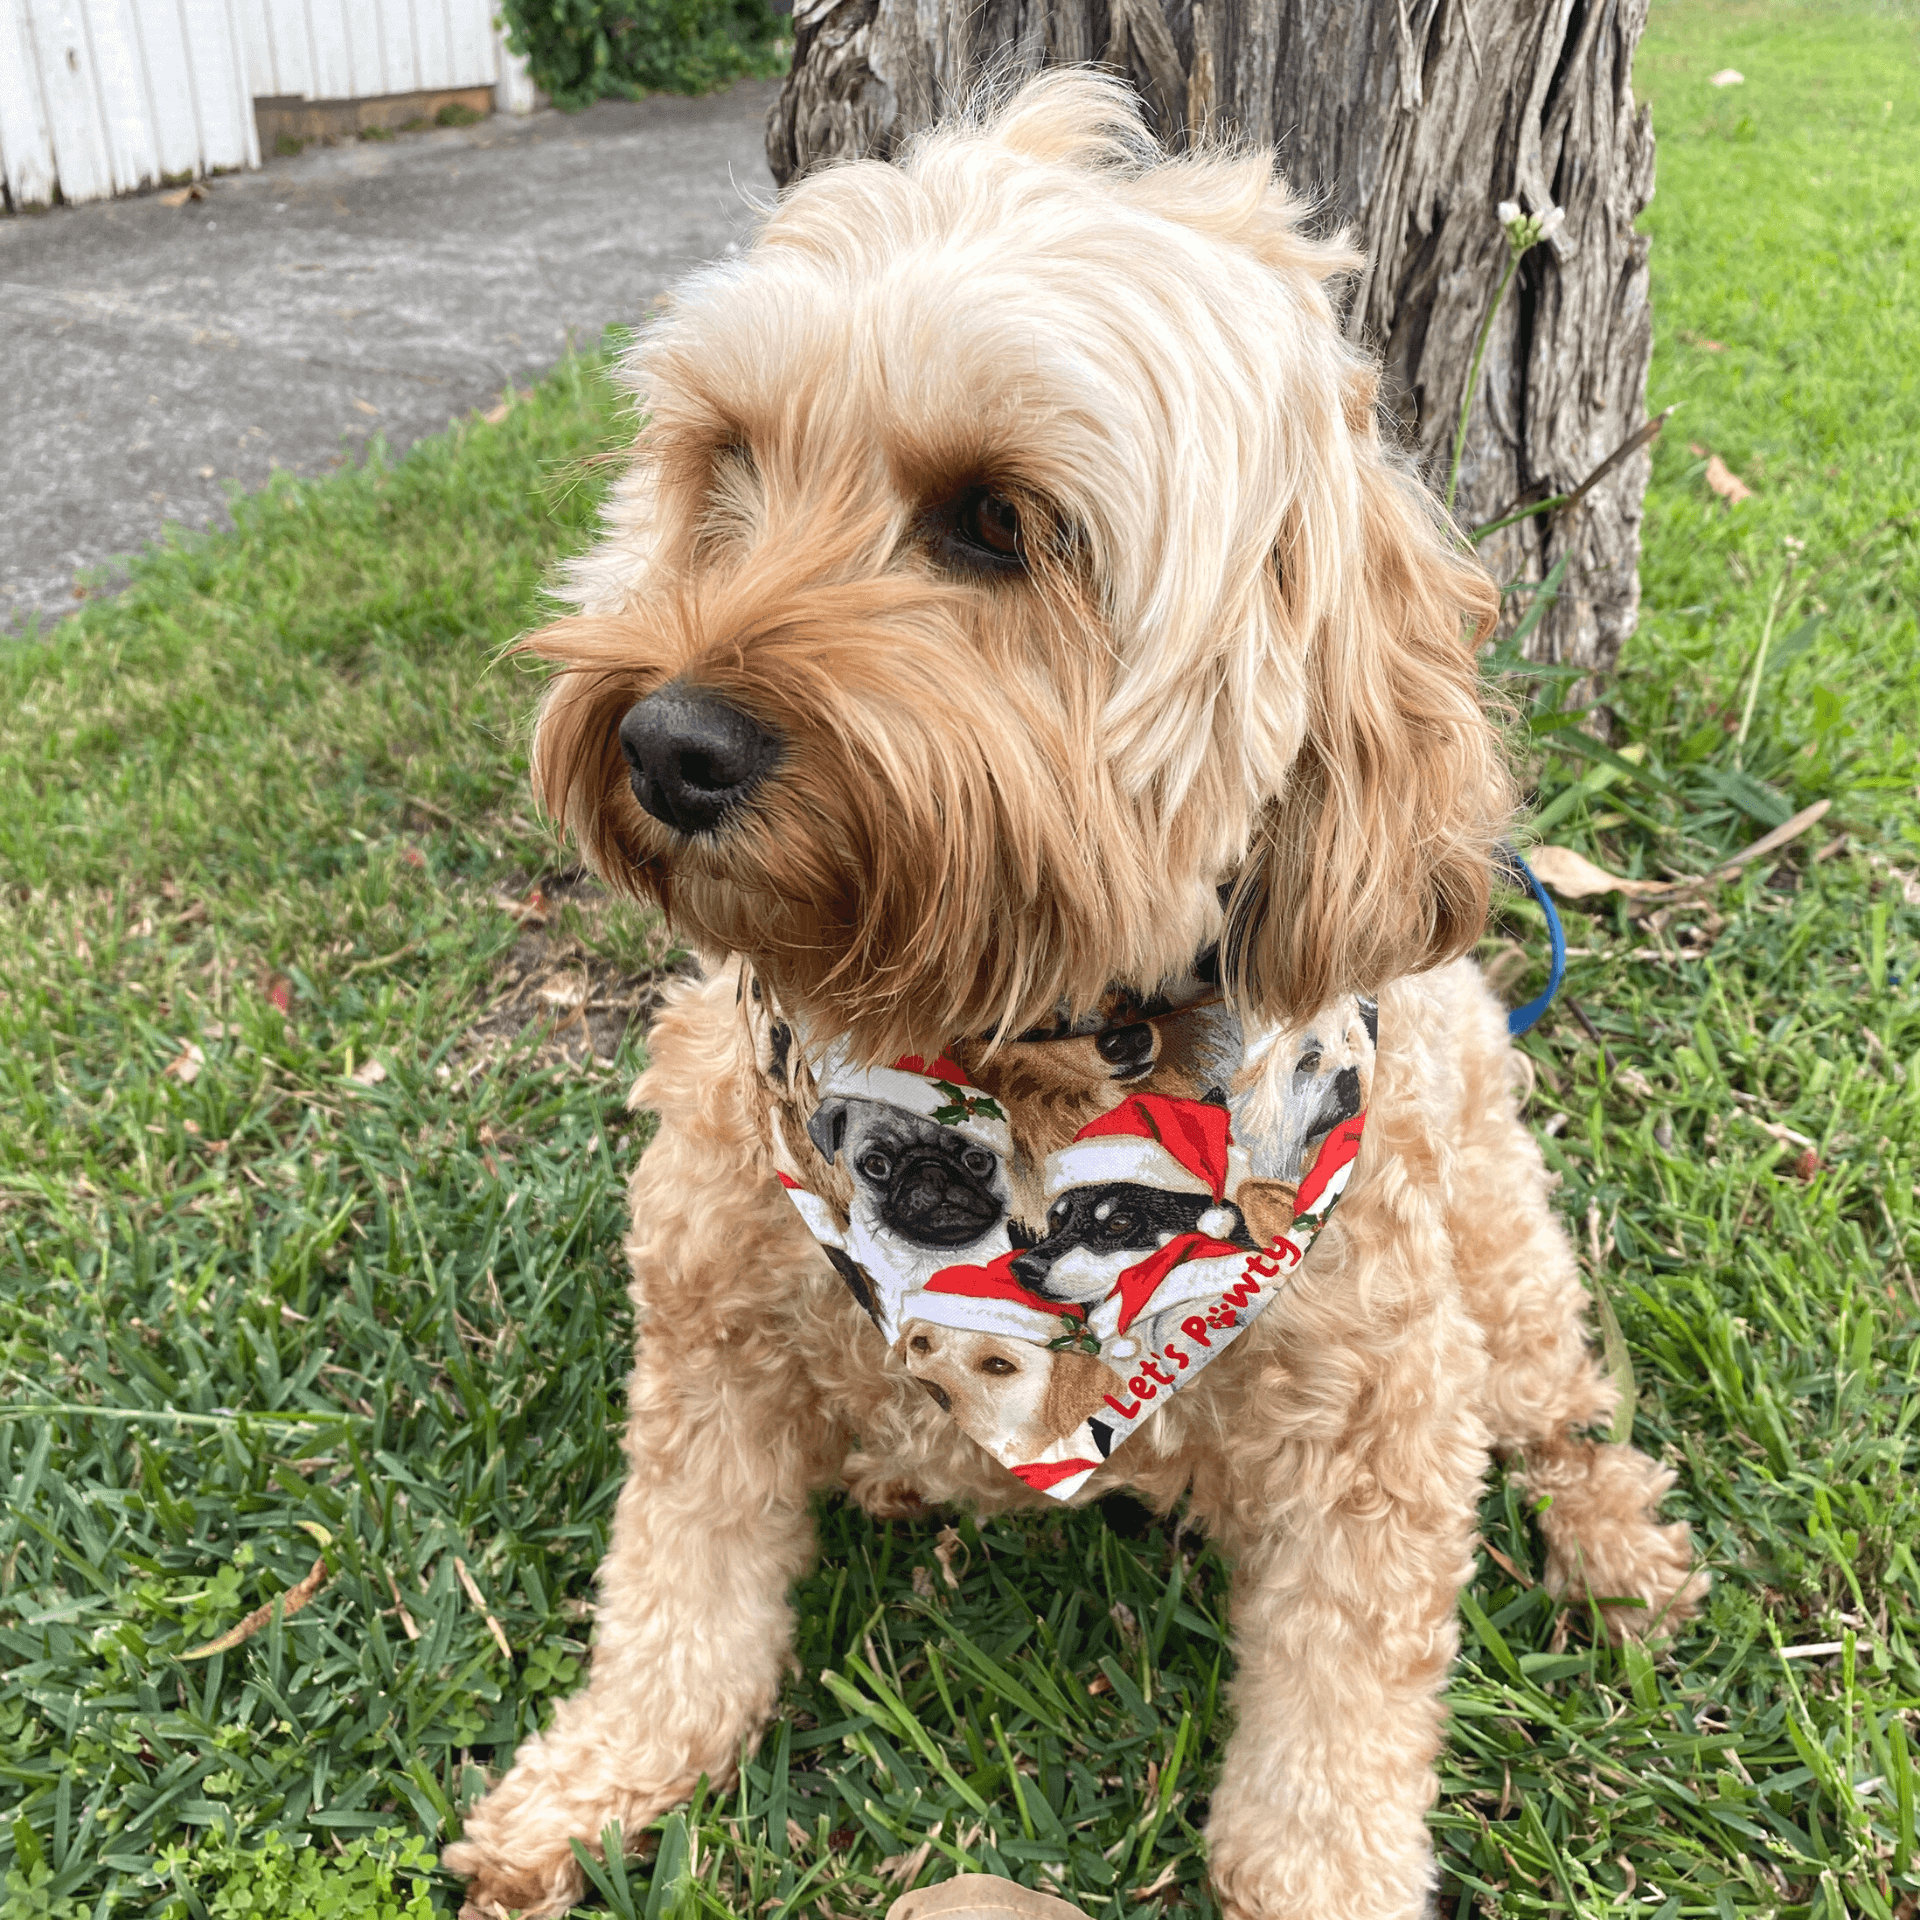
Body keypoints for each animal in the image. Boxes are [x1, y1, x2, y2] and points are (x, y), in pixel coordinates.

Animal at [441, 67, 1704, 1920]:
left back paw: (1618, 1543)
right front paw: (598, 1778)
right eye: (725, 462)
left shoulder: (1378, 1427)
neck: (1004, 1059)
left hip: (1503, 1256)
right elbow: (681, 1596)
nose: (668, 742)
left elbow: (1333, 1757)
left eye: (995, 520)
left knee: (1561, 1409)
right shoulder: (708, 1336)